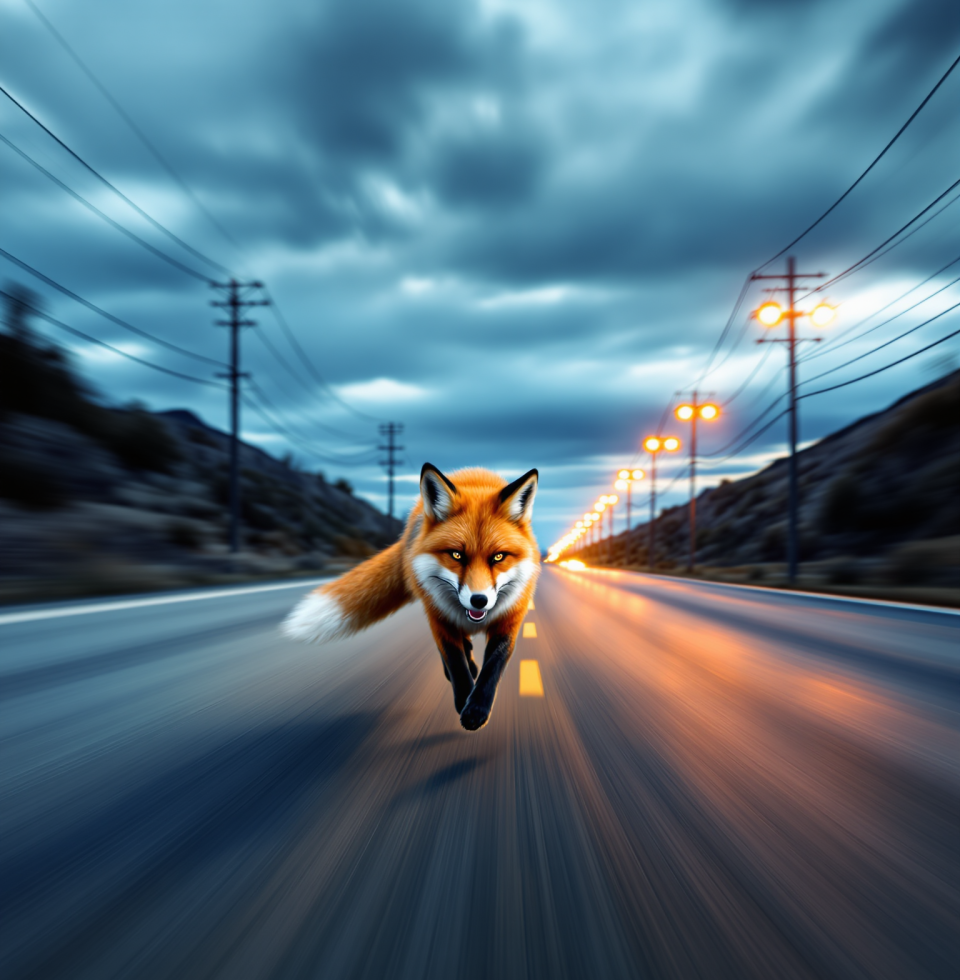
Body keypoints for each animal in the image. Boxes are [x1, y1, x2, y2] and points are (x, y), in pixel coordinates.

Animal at [282, 463, 540, 731]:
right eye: (457, 555)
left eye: (498, 557)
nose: (478, 600)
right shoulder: (438, 618)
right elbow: (455, 661)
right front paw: (463, 698)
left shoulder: (509, 620)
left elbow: (492, 668)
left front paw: (477, 708)